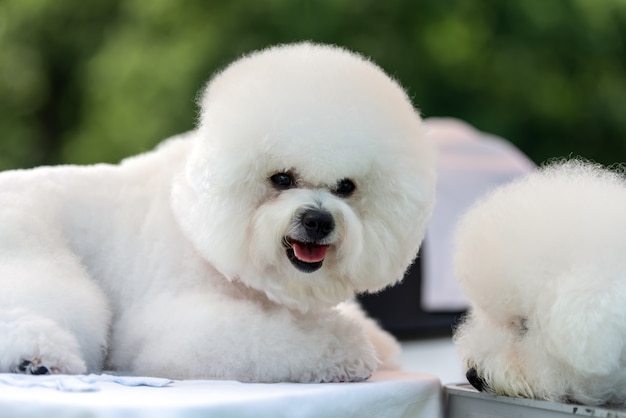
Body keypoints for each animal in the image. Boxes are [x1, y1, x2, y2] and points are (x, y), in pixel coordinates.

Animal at [0, 42, 434, 382]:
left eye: (346, 187)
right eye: (281, 178)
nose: (318, 221)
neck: (200, 228)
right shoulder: (173, 327)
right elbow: (271, 340)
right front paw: (346, 349)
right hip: (34, 251)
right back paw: (36, 357)